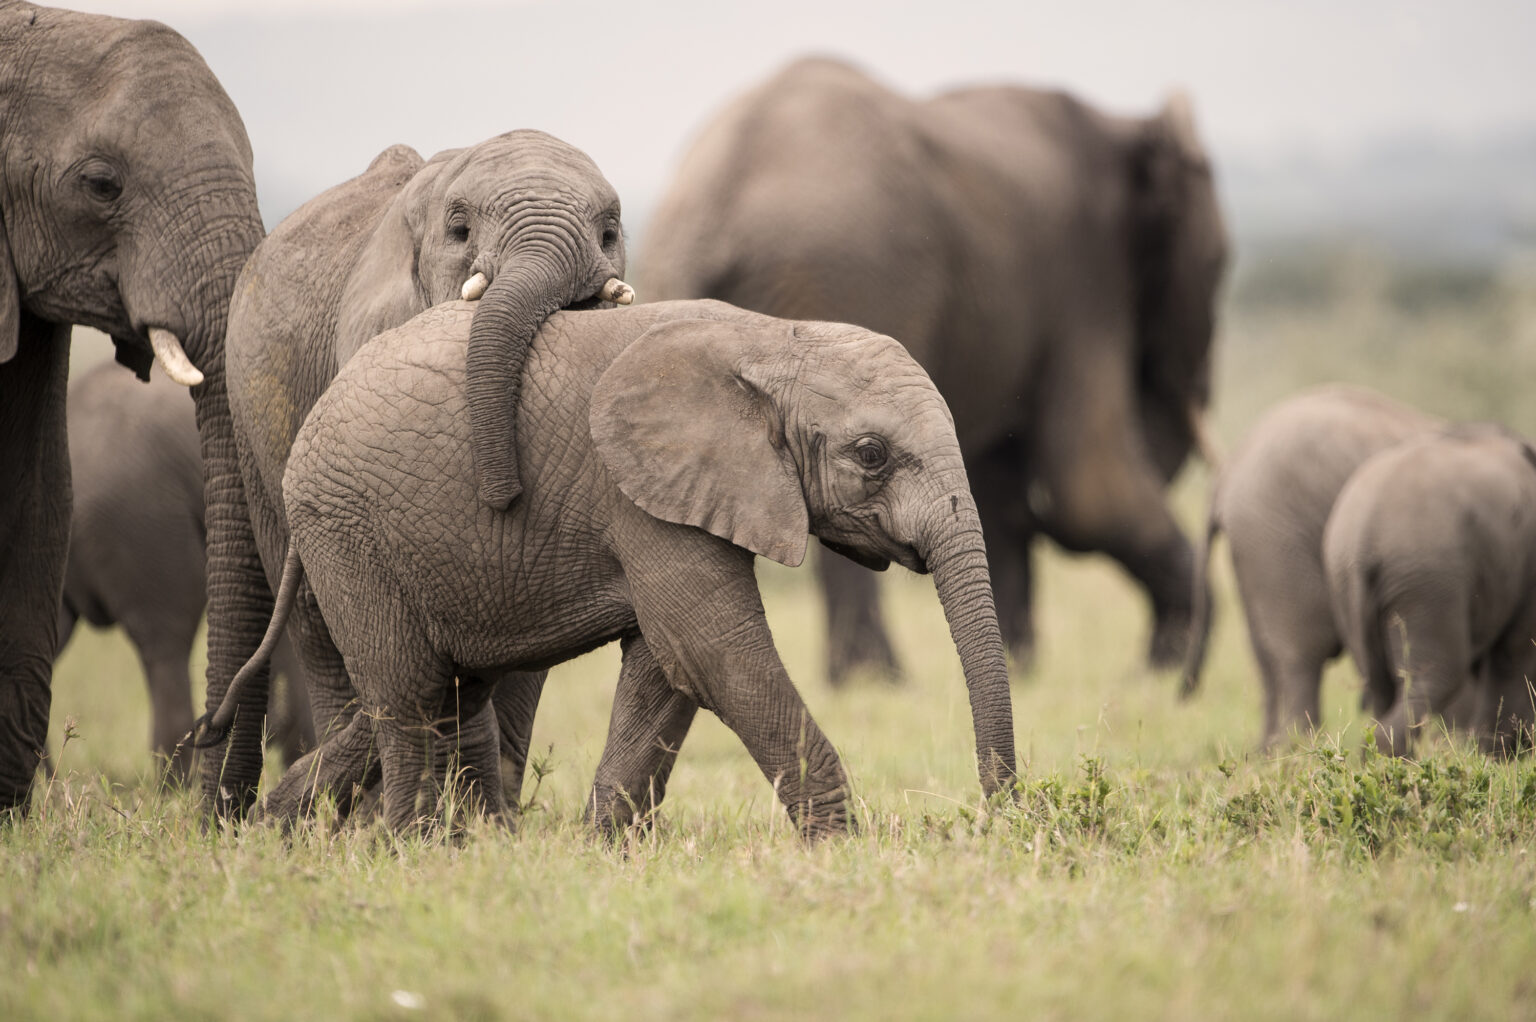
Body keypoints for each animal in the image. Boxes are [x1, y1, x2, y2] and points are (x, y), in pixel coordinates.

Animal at [199, 130, 633, 818]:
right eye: (459, 230)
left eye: (610, 231)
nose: (505, 492)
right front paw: (463, 826)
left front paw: (487, 821)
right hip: (252, 434)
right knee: (319, 625)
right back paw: (353, 818)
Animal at [200, 299, 1018, 836]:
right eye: (871, 455)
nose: (999, 818)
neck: (772, 337)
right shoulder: (639, 494)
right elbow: (715, 654)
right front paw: (839, 849)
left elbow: (667, 668)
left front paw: (607, 849)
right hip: (346, 529)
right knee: (408, 691)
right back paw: (413, 846)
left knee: (436, 688)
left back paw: (273, 835)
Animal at [638, 57, 1228, 683]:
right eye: (1219, 263)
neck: (1123, 127)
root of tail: (712, 206)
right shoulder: (1087, 278)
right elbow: (1089, 487)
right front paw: (1169, 662)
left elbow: (1003, 484)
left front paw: (1023, 667)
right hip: (848, 272)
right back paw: (875, 679)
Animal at [1180, 385, 1441, 748]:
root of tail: (1230, 470)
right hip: (1279, 538)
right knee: (1300, 654)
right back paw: (1298, 750)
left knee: (1267, 656)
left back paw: (1269, 753)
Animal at [1323, 423, 1536, 757]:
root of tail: (1362, 535)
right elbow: (1514, 655)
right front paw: (1499, 757)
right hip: (1428, 577)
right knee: (1437, 676)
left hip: (1345, 581)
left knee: (1382, 684)